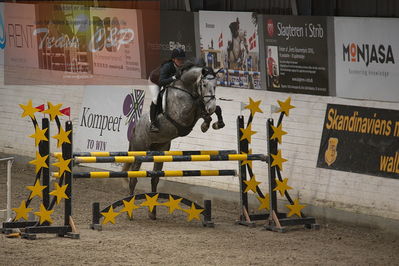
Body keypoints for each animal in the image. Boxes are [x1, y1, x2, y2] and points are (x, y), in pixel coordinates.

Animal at [122, 64, 225, 218]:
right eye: (204, 84)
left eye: (216, 85)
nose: (210, 105)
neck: (187, 89)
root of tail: (135, 128)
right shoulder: (183, 116)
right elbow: (201, 110)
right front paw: (205, 125)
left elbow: (212, 110)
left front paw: (216, 124)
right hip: (139, 151)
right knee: (133, 178)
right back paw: (130, 212)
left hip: (160, 151)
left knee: (155, 178)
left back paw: (152, 213)